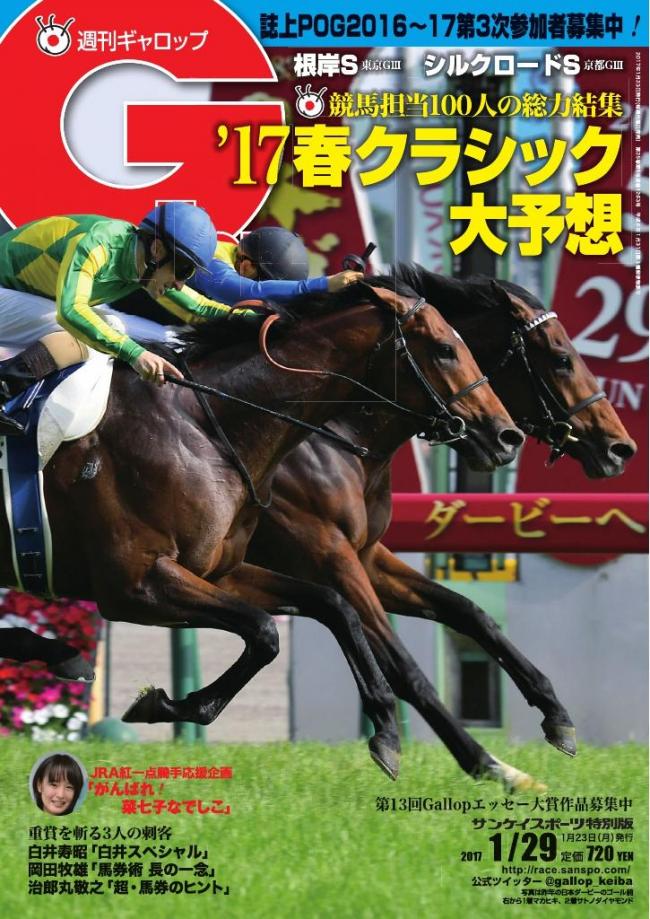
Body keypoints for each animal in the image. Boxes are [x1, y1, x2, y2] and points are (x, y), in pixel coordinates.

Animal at [0, 282, 523, 780]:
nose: (506, 435)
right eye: (444, 349)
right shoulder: (135, 584)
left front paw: (392, 734)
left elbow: (332, 610)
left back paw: (57, 653)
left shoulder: (223, 569)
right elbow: (271, 631)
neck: (204, 427)